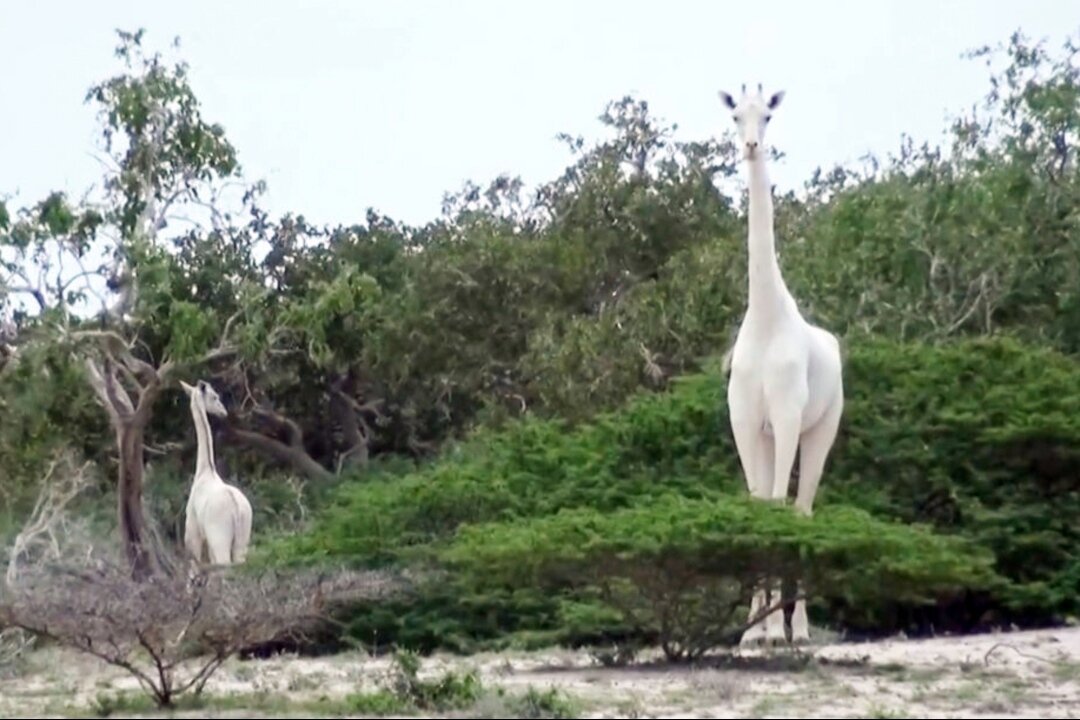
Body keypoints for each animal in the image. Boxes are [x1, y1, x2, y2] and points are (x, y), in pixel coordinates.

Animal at [179, 379, 252, 565]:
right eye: (214, 397)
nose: (223, 412)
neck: (205, 471)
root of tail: (237, 509)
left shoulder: (193, 535)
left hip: (219, 539)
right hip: (242, 541)